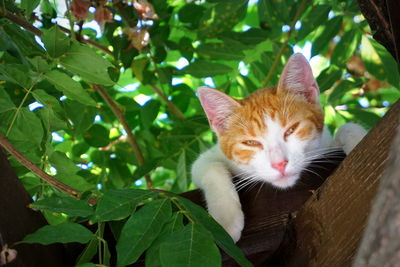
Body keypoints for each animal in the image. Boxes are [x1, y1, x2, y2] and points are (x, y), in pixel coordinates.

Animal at [192, 53, 368, 244]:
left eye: (291, 130)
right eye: (251, 143)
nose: (280, 164)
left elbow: (347, 128)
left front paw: (358, 140)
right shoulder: (210, 157)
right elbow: (209, 166)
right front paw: (225, 220)